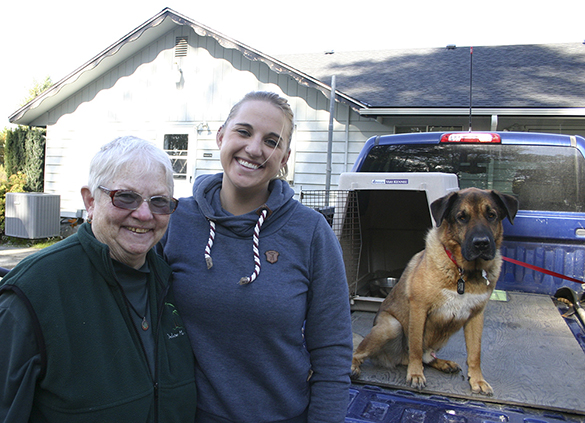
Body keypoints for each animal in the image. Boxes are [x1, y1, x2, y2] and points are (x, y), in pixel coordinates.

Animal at [350, 187, 516, 396]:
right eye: (461, 217)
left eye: (491, 215)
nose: (481, 243)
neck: (462, 272)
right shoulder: (419, 309)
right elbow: (414, 346)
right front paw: (415, 375)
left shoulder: (476, 316)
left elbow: (475, 353)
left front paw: (478, 380)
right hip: (391, 326)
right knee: (360, 353)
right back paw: (354, 367)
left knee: (425, 357)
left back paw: (443, 363)